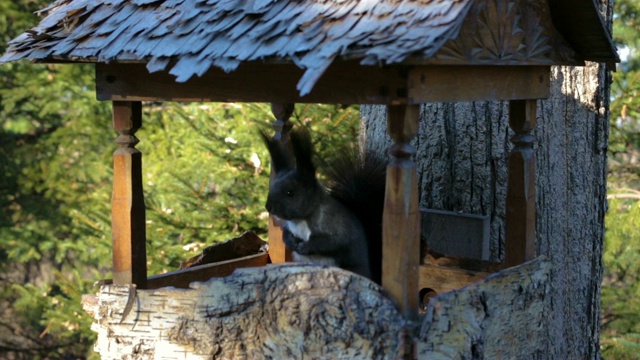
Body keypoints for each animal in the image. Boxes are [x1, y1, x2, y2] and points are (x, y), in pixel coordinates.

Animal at [260, 127, 384, 284]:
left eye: (290, 193)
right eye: (272, 187)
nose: (268, 207)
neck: (300, 220)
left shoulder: (335, 227)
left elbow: (330, 242)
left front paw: (304, 246)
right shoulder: (289, 227)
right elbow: (285, 235)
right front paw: (291, 243)